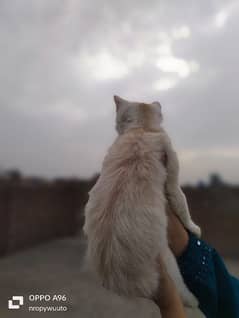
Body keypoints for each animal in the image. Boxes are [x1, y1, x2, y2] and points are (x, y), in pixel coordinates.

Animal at [83, 95, 202, 312]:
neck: (142, 129)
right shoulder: (172, 179)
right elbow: (182, 204)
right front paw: (194, 228)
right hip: (168, 260)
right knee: (182, 290)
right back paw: (192, 300)